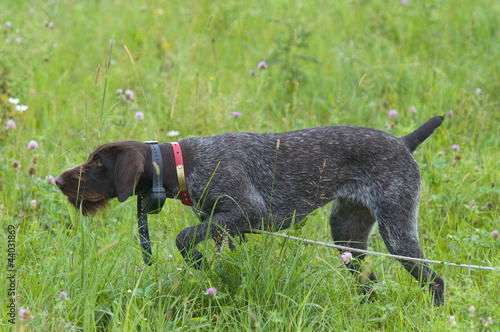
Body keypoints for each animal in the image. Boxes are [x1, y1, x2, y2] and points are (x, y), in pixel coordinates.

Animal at [55, 116, 446, 306]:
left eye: (98, 164)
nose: (58, 180)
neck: (184, 165)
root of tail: (404, 142)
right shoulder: (229, 228)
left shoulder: (248, 213)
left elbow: (183, 237)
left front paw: (197, 263)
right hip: (347, 234)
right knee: (369, 280)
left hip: (397, 231)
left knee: (436, 281)